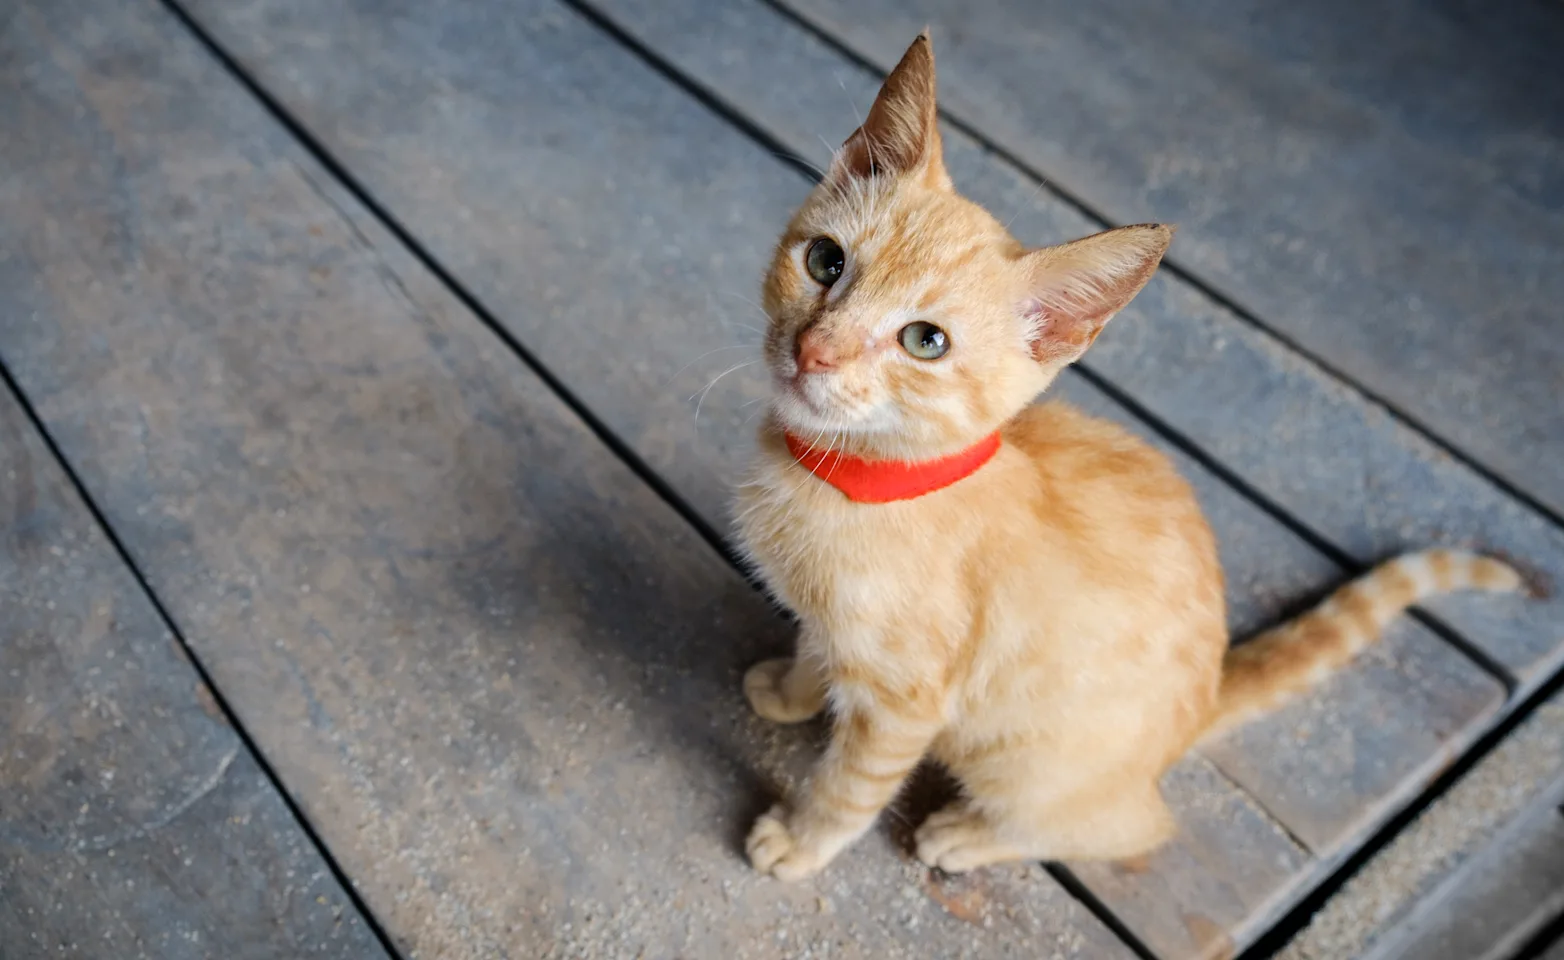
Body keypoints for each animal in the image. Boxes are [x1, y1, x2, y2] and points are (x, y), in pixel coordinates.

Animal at [731, 33, 1526, 881]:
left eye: (925, 341)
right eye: (825, 262)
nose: (814, 350)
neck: (849, 478)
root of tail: (1200, 704)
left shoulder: (904, 704)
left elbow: (849, 785)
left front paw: (801, 838)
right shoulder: (834, 627)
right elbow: (816, 647)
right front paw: (793, 689)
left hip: (1025, 764)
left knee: (1132, 828)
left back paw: (969, 835)